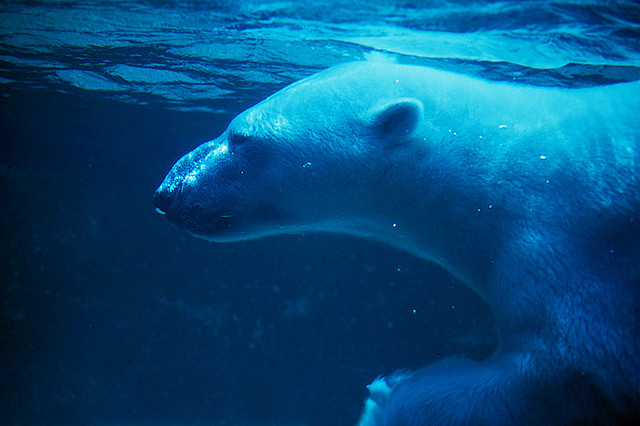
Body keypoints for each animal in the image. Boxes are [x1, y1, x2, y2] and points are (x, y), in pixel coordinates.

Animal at [154, 60, 640, 424]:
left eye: (243, 138)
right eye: (231, 128)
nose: (167, 191)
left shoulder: (561, 249)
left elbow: (567, 368)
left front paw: (385, 397)